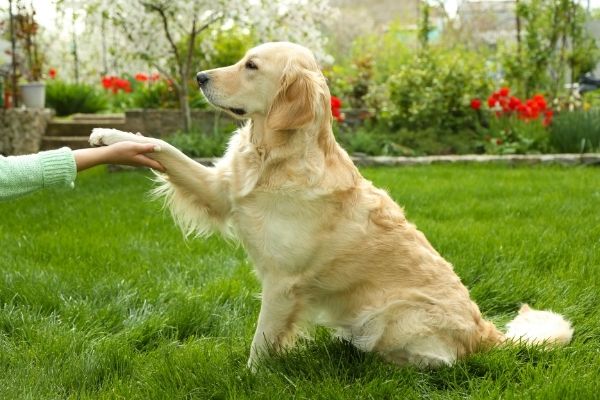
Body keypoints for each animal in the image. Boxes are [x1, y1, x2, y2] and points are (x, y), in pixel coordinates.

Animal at [89, 42, 572, 370]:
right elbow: (163, 146)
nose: (201, 77)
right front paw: (112, 137)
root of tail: (487, 332)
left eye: (251, 66)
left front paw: (249, 377)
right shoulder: (219, 190)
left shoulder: (283, 283)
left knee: (434, 360)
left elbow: (261, 341)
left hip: (393, 316)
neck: (274, 157)